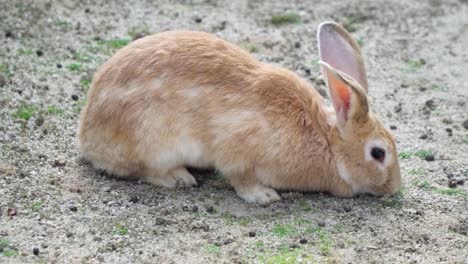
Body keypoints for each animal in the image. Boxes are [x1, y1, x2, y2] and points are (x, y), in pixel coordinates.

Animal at [78, 21, 400, 205]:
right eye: (378, 153)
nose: (394, 188)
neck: (326, 141)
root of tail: (88, 137)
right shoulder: (238, 150)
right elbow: (240, 178)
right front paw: (264, 197)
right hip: (151, 141)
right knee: (142, 170)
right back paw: (179, 178)